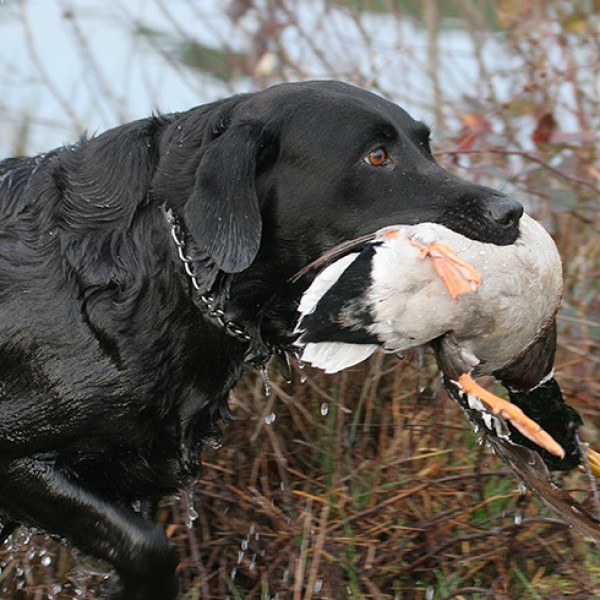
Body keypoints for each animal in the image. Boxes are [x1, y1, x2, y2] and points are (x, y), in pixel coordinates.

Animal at [0, 81, 520, 600]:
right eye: (376, 156)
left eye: (425, 146)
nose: (511, 212)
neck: (168, 263)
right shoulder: (20, 458)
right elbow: (147, 546)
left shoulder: (139, 471)